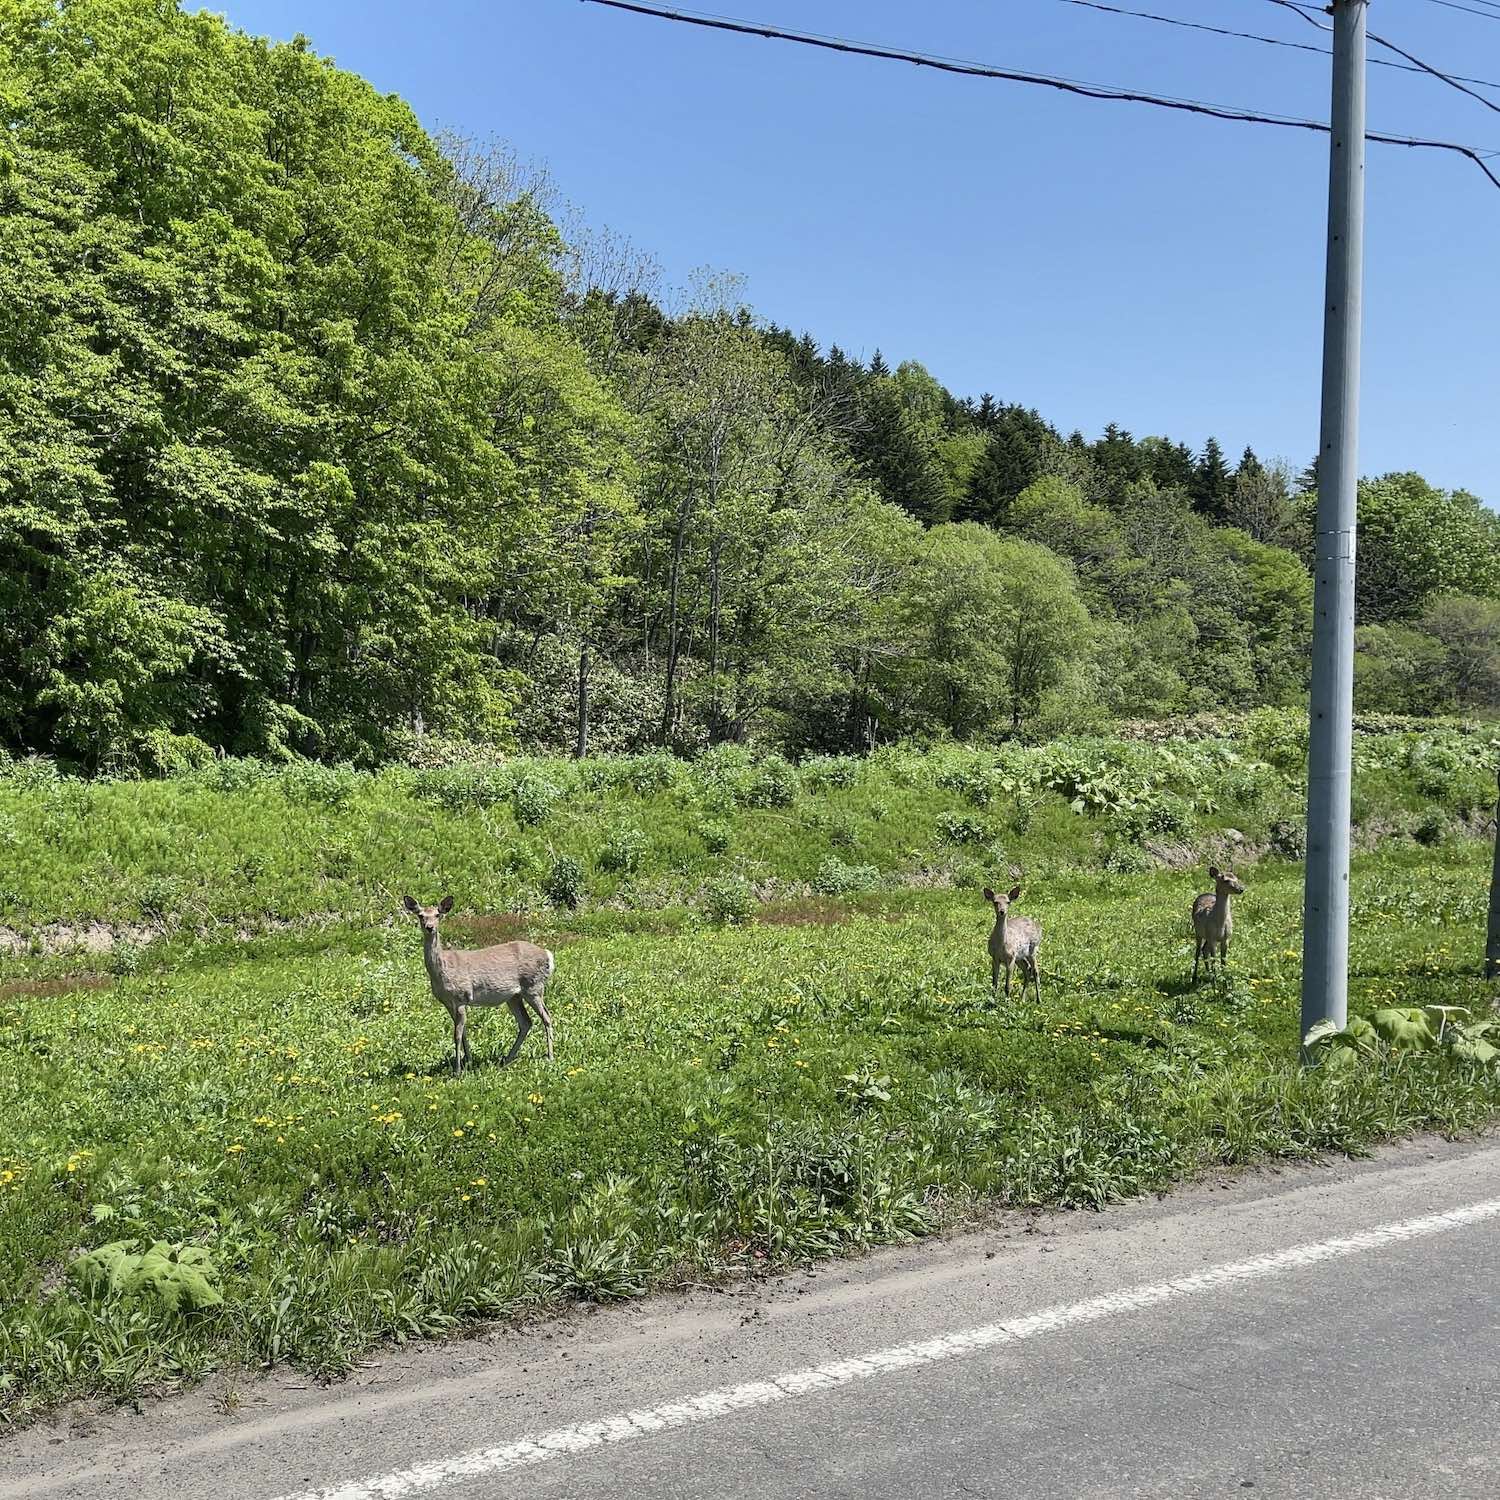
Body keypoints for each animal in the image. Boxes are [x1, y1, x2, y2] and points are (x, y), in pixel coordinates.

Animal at [405, 894, 558, 1074]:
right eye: (420, 915)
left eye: (437, 915)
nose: (430, 927)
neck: (443, 971)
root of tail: (548, 955)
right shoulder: (447, 1002)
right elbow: (463, 1032)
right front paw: (468, 1061)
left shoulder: (461, 997)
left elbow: (457, 1034)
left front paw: (457, 1070)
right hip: (514, 996)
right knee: (526, 1022)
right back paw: (507, 1059)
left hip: (533, 986)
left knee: (546, 1017)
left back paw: (550, 1057)